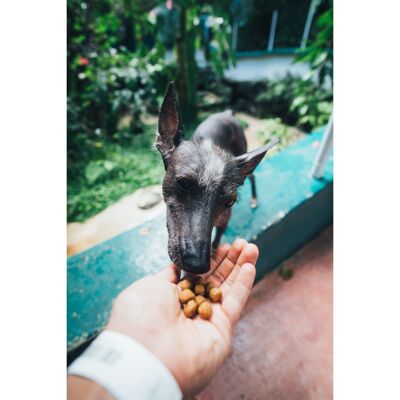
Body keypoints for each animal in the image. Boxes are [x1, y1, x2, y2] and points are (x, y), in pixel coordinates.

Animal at [156, 82, 278, 274]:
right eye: (183, 183)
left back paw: (254, 198)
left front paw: (213, 249)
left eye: (230, 202)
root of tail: (227, 113)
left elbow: (217, 239)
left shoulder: (224, 221)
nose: (198, 265)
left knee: (252, 177)